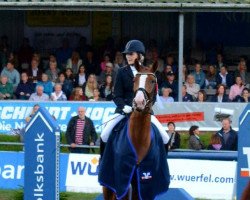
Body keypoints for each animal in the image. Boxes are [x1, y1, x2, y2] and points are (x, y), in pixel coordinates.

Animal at [98, 61, 170, 200]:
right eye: (134, 80)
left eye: (152, 81)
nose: (139, 102)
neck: (139, 138)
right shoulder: (122, 181)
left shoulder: (145, 184)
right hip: (108, 184)